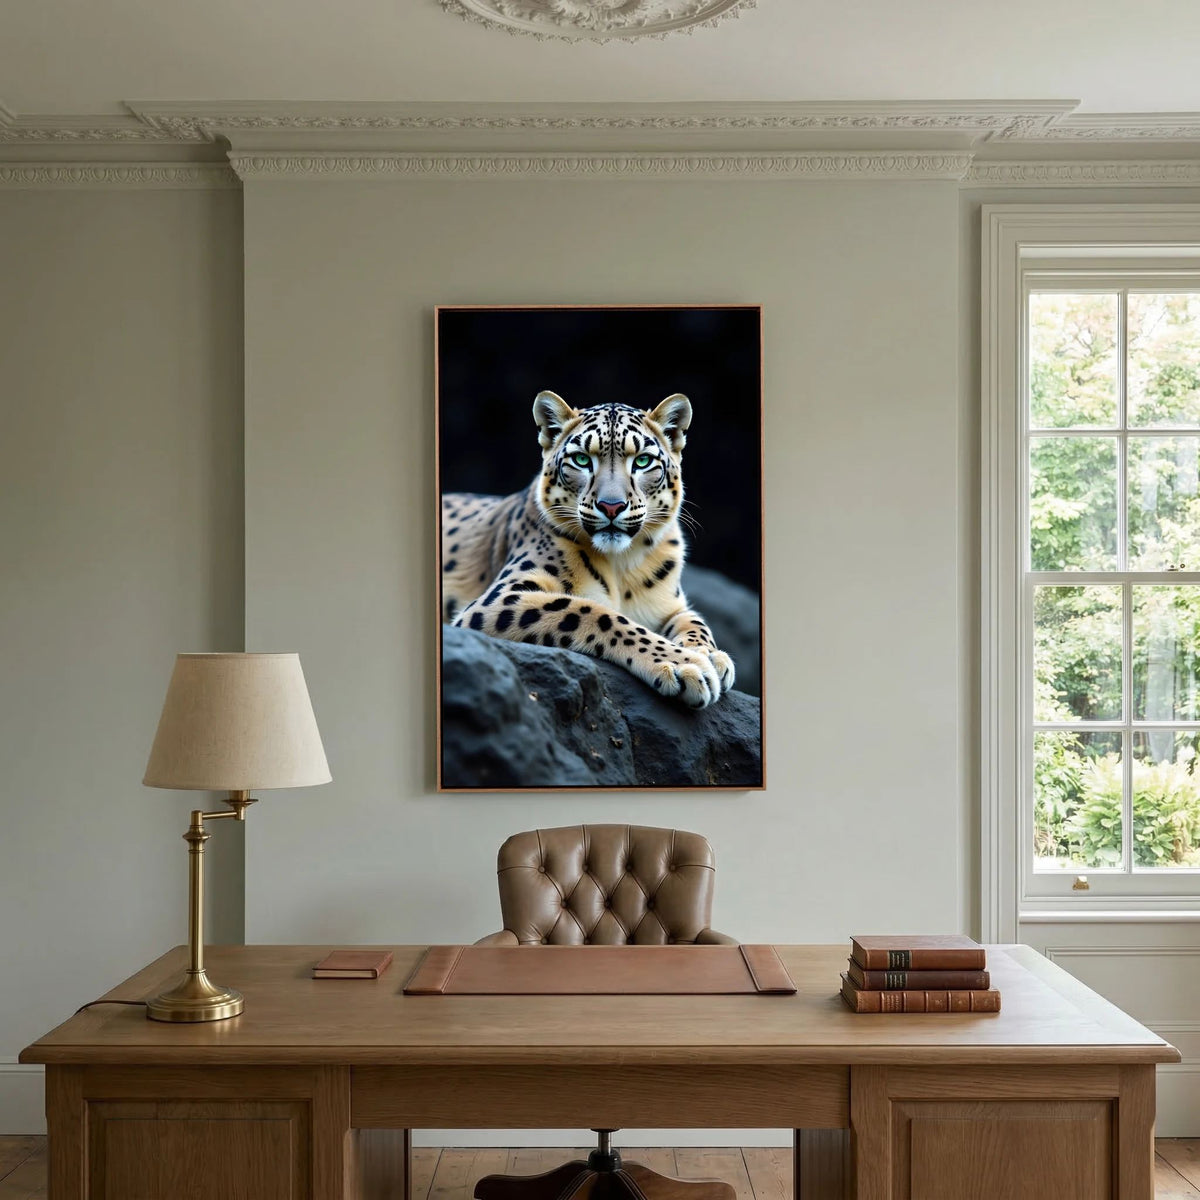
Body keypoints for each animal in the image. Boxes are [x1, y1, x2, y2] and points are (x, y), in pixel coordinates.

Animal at [441, 390, 736, 709]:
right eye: (581, 459)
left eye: (643, 461)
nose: (611, 505)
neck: (622, 565)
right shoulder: (500, 597)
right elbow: (591, 611)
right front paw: (686, 664)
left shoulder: (670, 605)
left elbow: (695, 621)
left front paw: (711, 655)